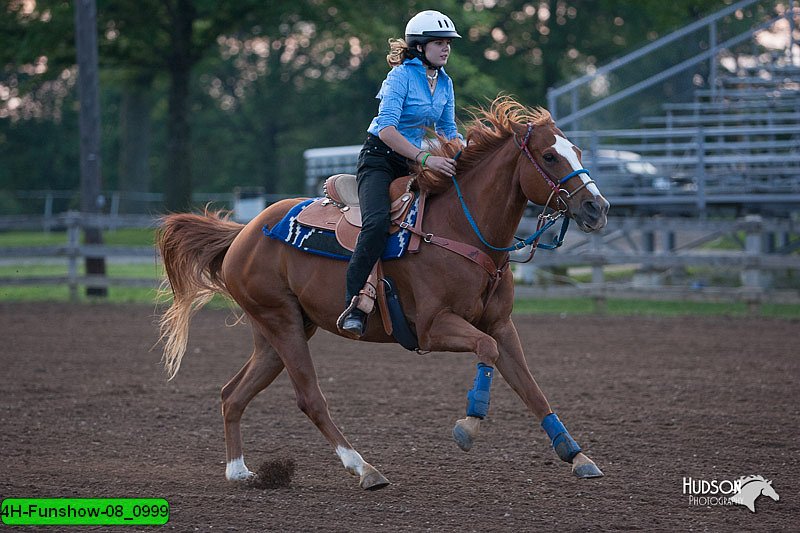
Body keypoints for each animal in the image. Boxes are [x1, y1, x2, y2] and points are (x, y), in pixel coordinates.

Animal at [161, 97, 612, 488]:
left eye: (577, 151)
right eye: (550, 156)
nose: (598, 208)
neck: (460, 230)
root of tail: (244, 233)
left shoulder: (500, 324)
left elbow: (530, 386)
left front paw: (577, 455)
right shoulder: (433, 327)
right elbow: (486, 351)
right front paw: (468, 426)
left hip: (277, 333)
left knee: (232, 394)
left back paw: (239, 471)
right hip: (282, 322)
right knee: (309, 398)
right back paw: (364, 469)